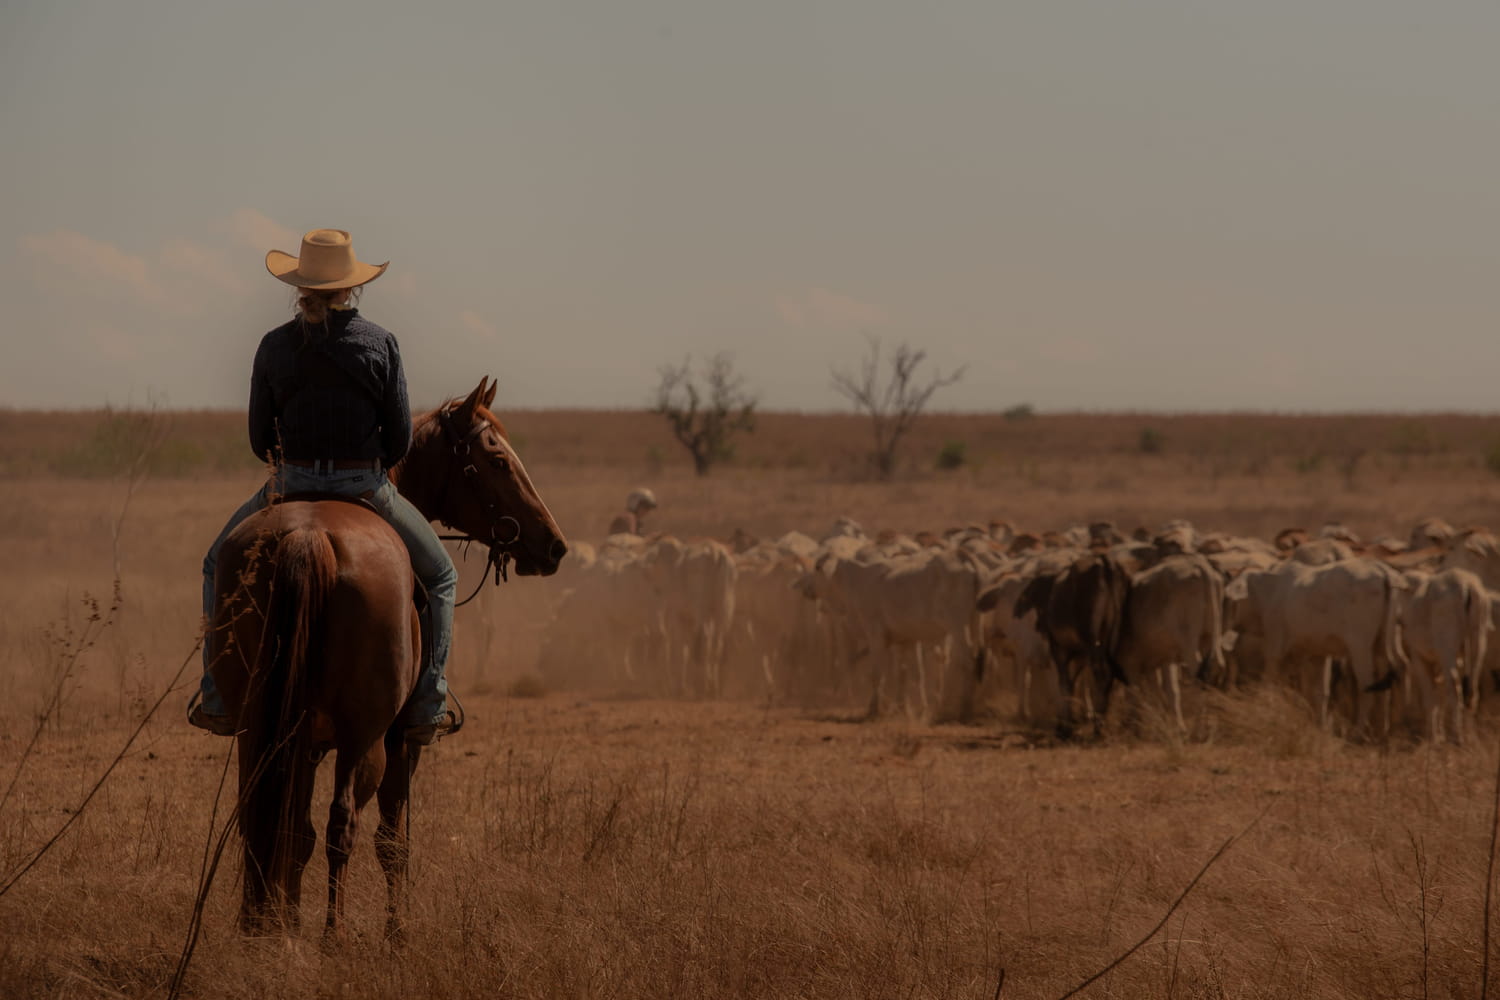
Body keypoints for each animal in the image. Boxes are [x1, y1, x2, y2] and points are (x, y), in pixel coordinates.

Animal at [208, 377, 564, 941]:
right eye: (497, 461)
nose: (553, 545)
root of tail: (309, 536)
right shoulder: (402, 743)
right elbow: (392, 840)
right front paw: (396, 934)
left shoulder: (303, 741)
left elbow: (294, 831)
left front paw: (286, 922)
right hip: (366, 737)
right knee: (344, 823)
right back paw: (331, 937)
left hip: (256, 726)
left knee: (262, 816)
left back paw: (261, 928)